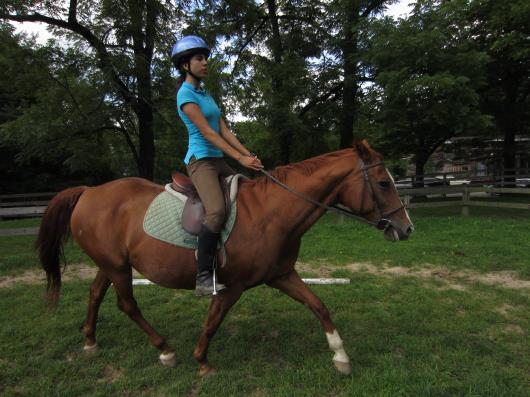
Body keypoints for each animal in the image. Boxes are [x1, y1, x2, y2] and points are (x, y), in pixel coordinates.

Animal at [36, 139, 412, 374]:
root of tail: (89, 191)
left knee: (95, 294)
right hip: (117, 267)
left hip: (111, 264)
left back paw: (90, 341)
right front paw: (202, 361)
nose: (406, 229)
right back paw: (165, 350)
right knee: (127, 304)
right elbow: (213, 320)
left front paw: (341, 356)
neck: (270, 213)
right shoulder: (232, 287)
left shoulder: (281, 275)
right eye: (383, 183)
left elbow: (318, 305)